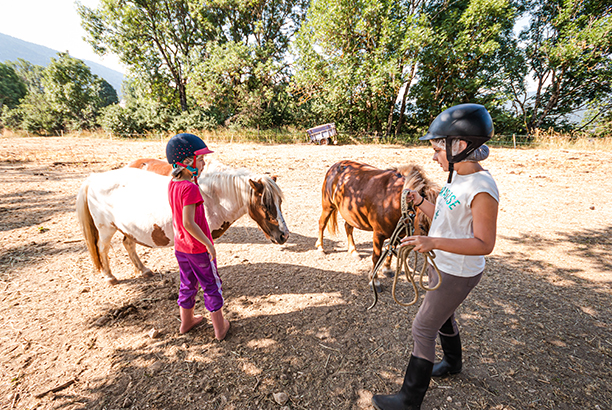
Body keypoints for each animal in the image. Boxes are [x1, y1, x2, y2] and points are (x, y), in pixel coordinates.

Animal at [77, 160, 290, 286]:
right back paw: (109, 277)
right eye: (266, 205)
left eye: (280, 202)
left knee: (128, 244)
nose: (284, 235)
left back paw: (144, 270)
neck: (211, 196)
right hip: (106, 229)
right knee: (102, 248)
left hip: (130, 229)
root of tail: (93, 179)